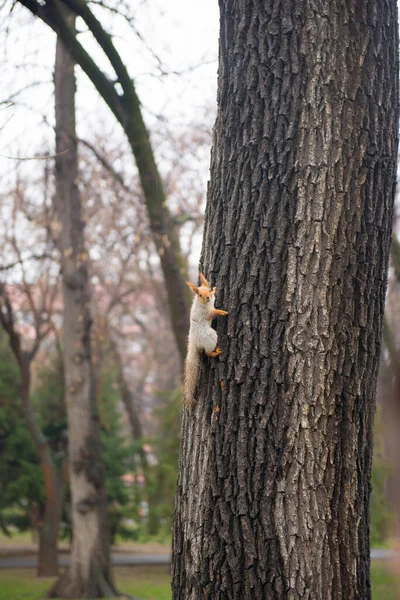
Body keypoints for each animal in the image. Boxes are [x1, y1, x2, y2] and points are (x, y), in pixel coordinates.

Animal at [183, 274, 227, 408]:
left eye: (208, 290)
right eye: (200, 295)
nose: (208, 297)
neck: (204, 304)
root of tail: (194, 341)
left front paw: (215, 290)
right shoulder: (205, 313)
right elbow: (212, 313)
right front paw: (221, 312)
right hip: (209, 336)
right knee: (207, 352)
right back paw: (215, 352)